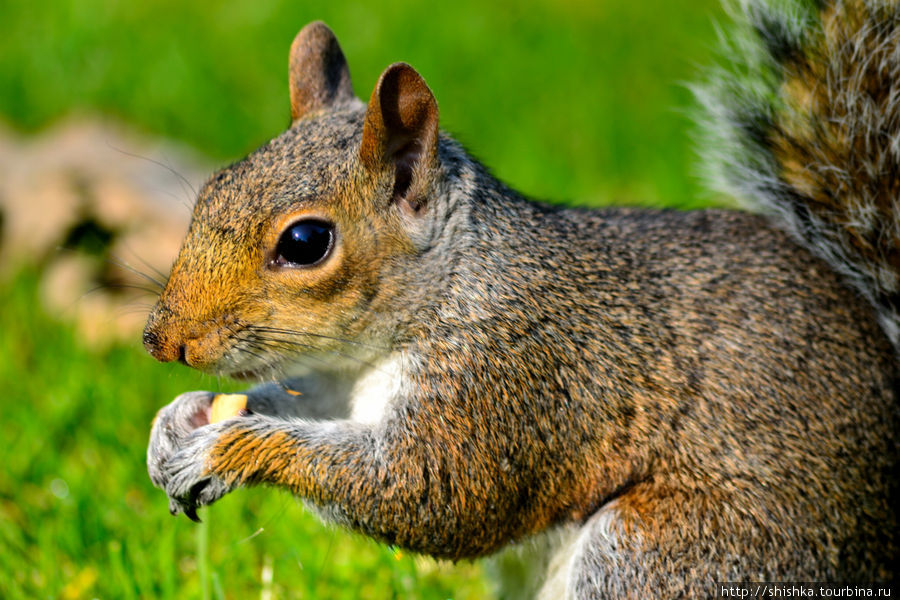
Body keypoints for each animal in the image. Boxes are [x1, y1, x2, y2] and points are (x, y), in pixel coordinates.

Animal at [141, 2, 900, 596]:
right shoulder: (341, 383)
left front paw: (227, 447)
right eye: (213, 188)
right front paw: (181, 420)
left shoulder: (507, 381)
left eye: (305, 242)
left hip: (667, 551)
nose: (162, 340)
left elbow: (428, 492)